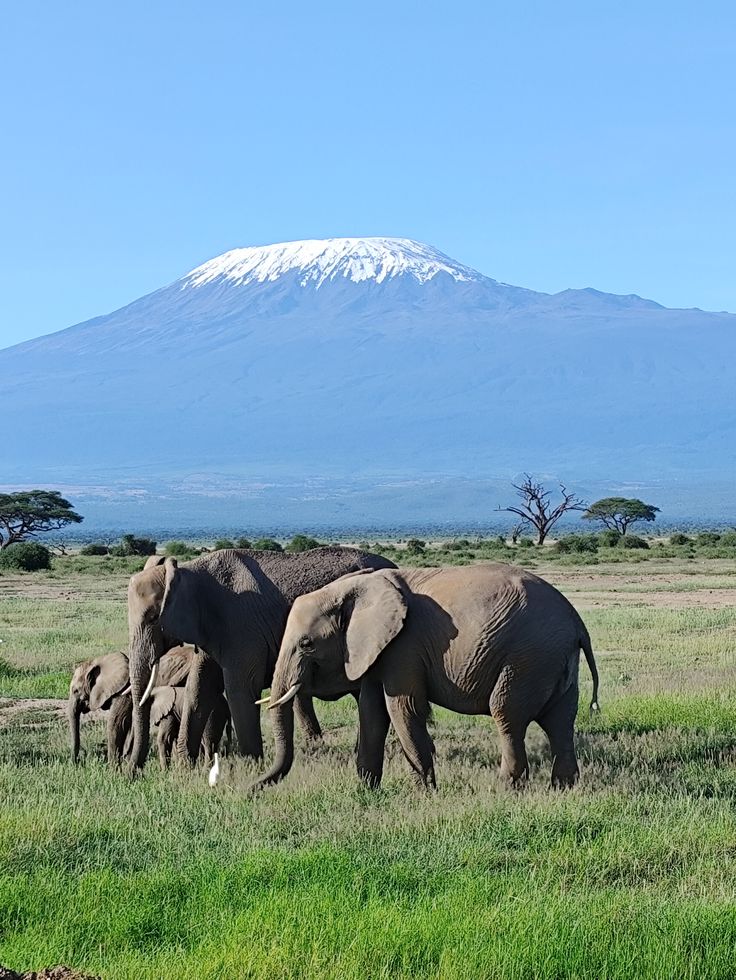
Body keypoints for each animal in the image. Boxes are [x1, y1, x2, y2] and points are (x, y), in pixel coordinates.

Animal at [126, 547, 396, 770]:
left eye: (153, 618)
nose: (132, 773)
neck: (189, 572)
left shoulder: (241, 626)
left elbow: (239, 689)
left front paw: (250, 769)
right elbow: (200, 688)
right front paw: (185, 770)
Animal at [256, 563, 600, 791]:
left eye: (307, 644)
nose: (252, 789)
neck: (356, 587)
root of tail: (577, 623)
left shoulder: (404, 645)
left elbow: (403, 709)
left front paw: (423, 792)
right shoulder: (380, 649)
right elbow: (371, 712)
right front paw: (367, 791)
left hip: (527, 657)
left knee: (507, 715)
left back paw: (506, 788)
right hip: (553, 658)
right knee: (560, 721)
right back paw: (564, 788)